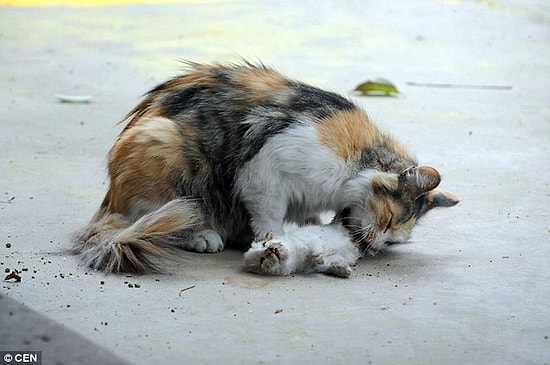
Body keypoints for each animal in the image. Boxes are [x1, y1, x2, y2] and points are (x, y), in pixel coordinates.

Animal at [73, 60, 462, 276]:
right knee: (161, 218)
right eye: (388, 220)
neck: (355, 164)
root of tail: (109, 203)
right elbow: (269, 213)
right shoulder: (266, 169)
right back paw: (203, 235)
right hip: (164, 143)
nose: (373, 248)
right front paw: (270, 238)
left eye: (393, 239)